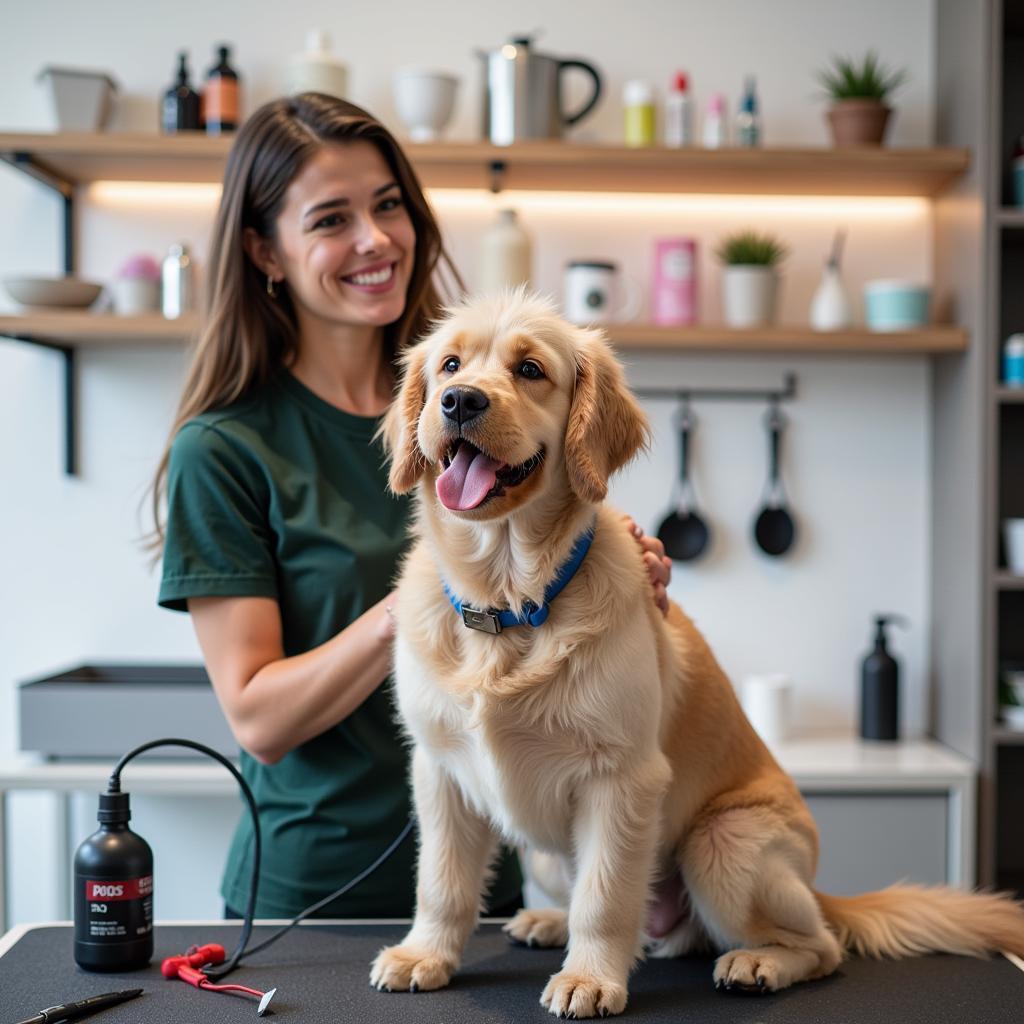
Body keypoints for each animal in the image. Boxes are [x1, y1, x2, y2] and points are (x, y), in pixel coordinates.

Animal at [370, 292, 1024, 1019]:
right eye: (450, 364)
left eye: (531, 369)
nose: (459, 401)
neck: (510, 601)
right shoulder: (439, 771)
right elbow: (441, 882)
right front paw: (425, 954)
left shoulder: (623, 777)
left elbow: (604, 897)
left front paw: (589, 978)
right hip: (552, 855)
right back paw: (547, 921)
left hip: (724, 843)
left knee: (820, 945)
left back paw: (757, 962)